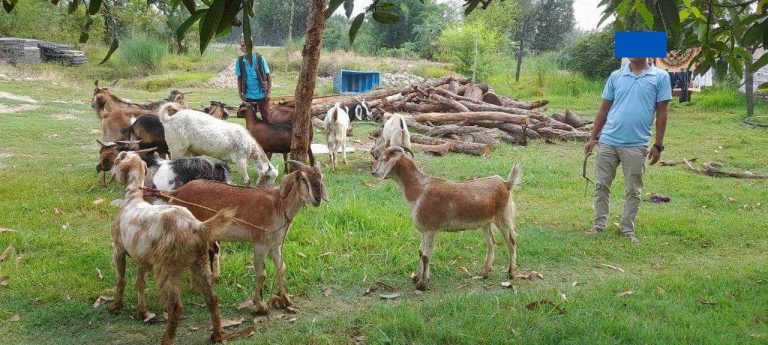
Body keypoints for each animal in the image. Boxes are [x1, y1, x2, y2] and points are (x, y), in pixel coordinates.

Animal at [106, 150, 236, 344]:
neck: (133, 198)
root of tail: (196, 226)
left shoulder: (120, 250)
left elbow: (121, 280)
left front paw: (116, 306)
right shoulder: (143, 257)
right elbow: (140, 283)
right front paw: (142, 312)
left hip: (167, 269)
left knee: (176, 307)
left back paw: (167, 339)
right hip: (199, 263)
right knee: (212, 298)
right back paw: (216, 333)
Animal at [160, 160, 328, 314]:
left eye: (321, 177)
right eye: (302, 178)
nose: (317, 199)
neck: (279, 205)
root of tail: (177, 192)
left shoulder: (275, 244)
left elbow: (281, 268)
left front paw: (286, 300)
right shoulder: (260, 243)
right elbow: (262, 274)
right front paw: (261, 305)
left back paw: (196, 288)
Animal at [372, 146, 520, 290]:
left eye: (384, 159)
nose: (374, 172)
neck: (419, 190)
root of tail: (506, 184)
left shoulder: (430, 230)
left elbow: (426, 256)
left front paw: (423, 284)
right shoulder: (424, 231)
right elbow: (420, 251)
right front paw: (417, 277)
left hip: (503, 219)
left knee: (511, 242)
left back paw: (511, 273)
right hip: (486, 223)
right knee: (491, 243)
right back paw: (485, 272)